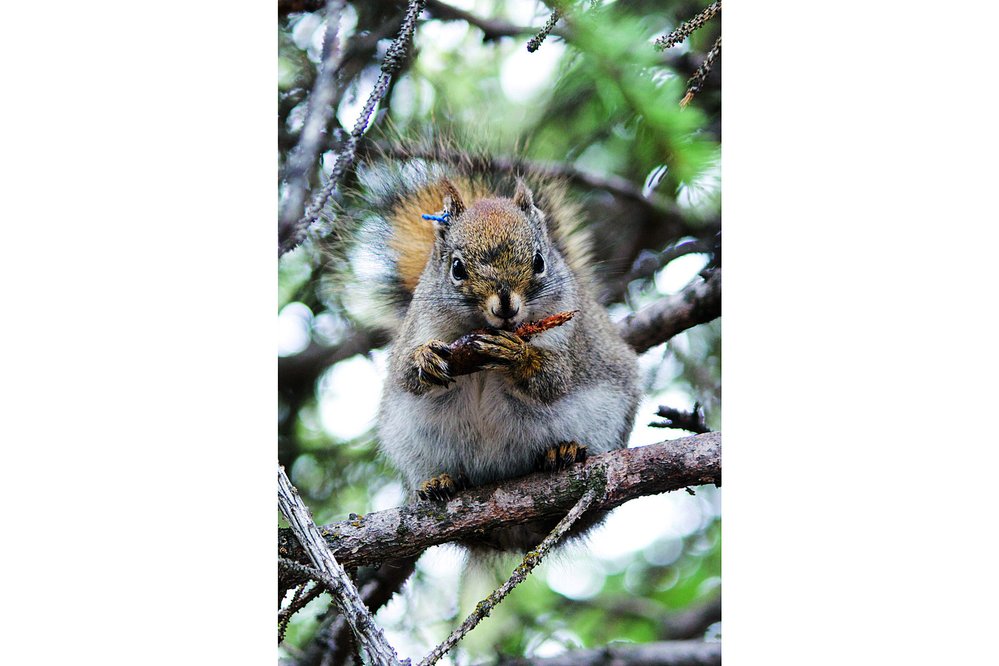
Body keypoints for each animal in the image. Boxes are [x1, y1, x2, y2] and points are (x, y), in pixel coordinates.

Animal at [344, 143, 640, 548]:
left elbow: (554, 379)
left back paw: (562, 452)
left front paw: (517, 356)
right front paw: (425, 359)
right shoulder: (418, 326)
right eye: (456, 268)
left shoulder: (570, 337)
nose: (505, 305)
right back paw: (439, 482)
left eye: (539, 261)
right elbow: (404, 373)